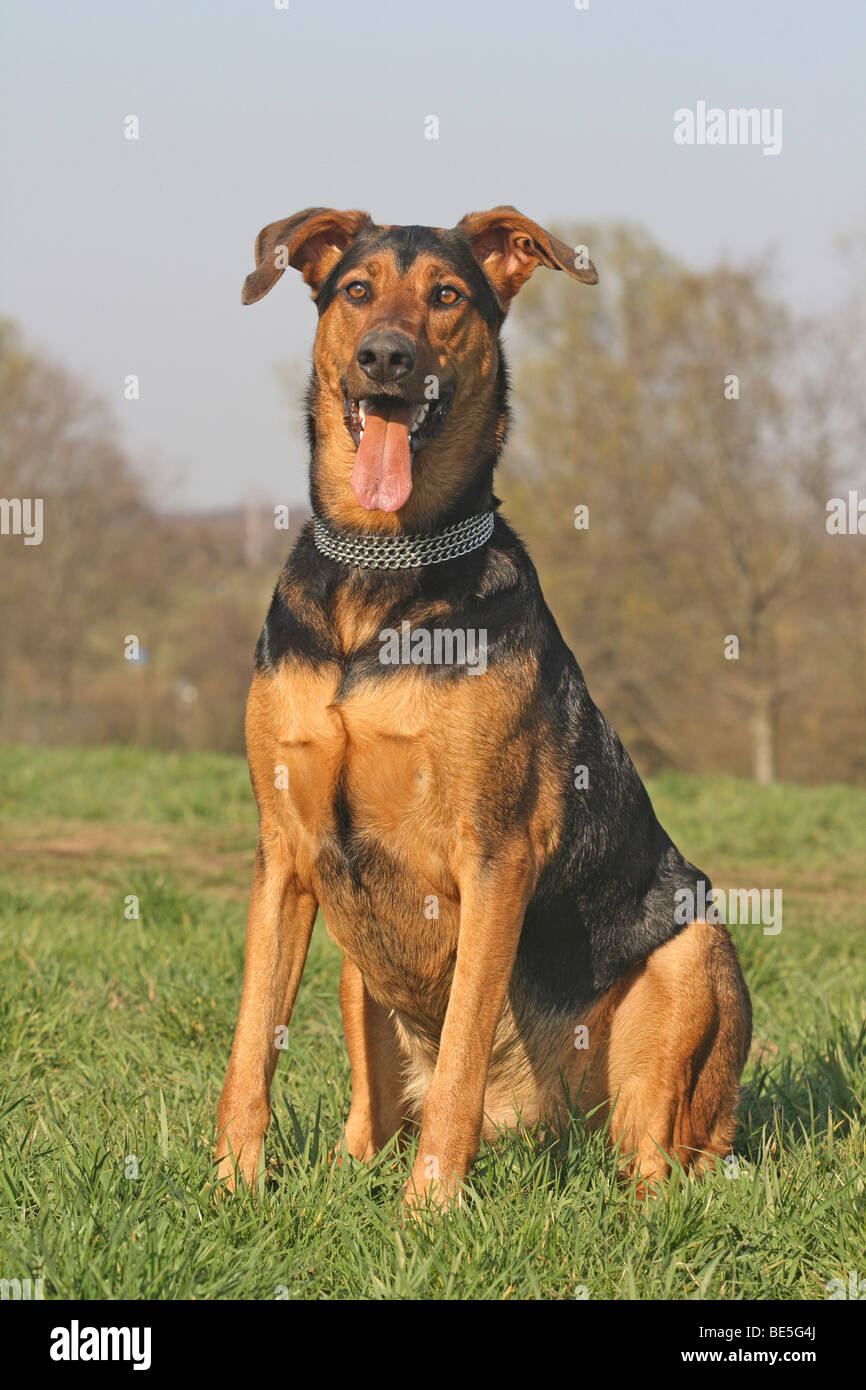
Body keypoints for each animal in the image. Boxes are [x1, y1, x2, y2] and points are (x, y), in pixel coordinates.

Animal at [216, 205, 750, 1206]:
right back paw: (351, 1170)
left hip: (693, 959)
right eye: (356, 290)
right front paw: (230, 1187)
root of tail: (538, 1134)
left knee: (651, 1155)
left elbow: (463, 1049)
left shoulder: (495, 856)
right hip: (356, 965)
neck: (381, 570)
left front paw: (428, 1211)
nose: (386, 357)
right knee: (372, 1119)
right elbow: (249, 1046)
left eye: (447, 296)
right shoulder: (285, 853)